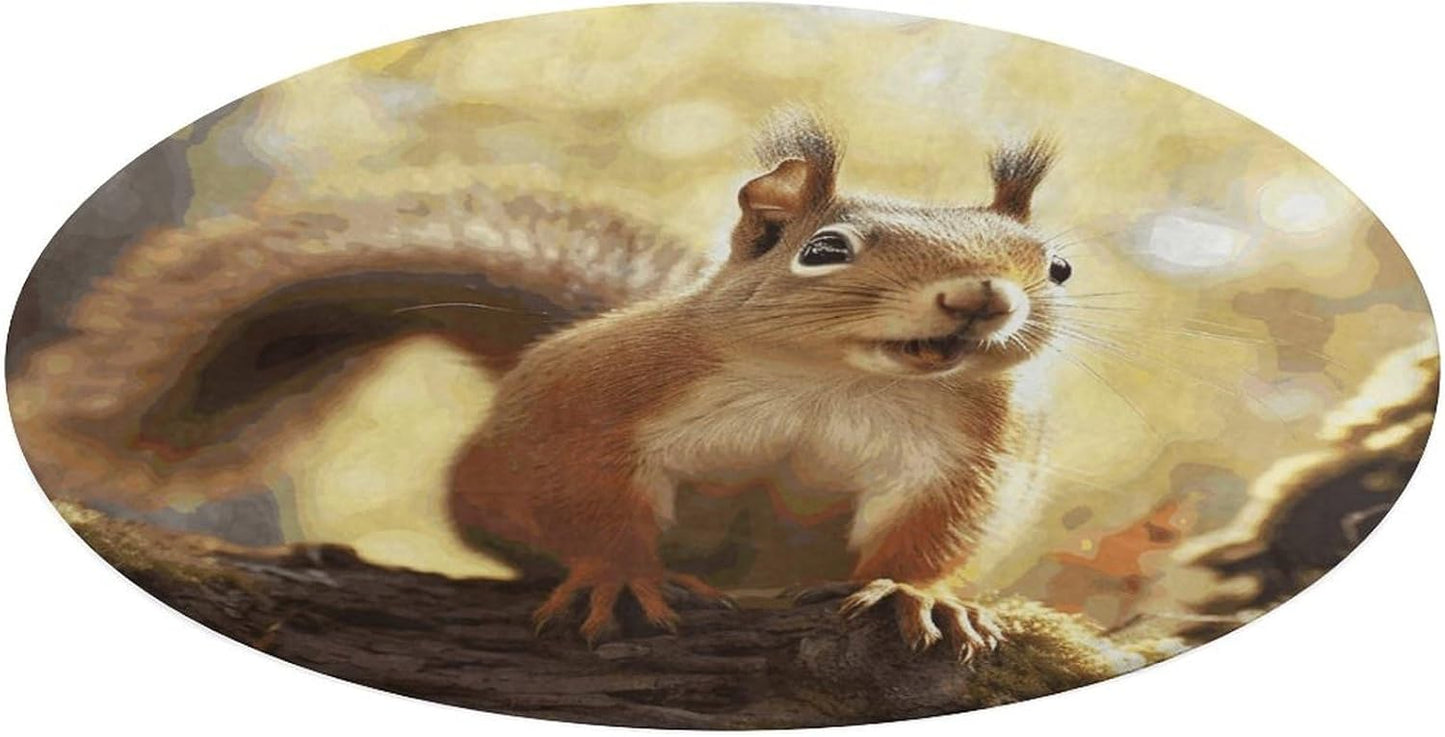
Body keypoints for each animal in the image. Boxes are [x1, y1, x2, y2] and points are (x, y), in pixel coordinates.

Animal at [10, 111, 1064, 659]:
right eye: (826, 249)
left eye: (1053, 265)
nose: (981, 298)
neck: (831, 382)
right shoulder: (596, 394)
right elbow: (589, 494)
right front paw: (620, 574)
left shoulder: (971, 450)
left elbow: (933, 528)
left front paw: (917, 594)